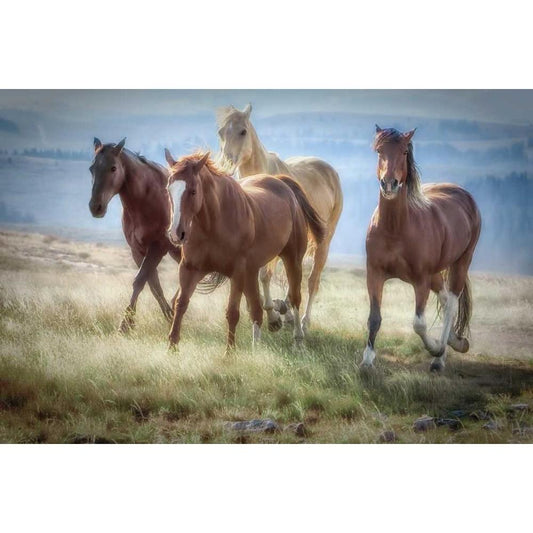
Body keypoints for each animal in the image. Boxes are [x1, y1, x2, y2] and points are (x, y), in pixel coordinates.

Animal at [89, 138, 181, 332]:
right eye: (91, 168)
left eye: (113, 168)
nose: (96, 207)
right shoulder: (137, 250)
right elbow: (153, 285)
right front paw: (169, 316)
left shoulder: (157, 248)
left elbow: (139, 281)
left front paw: (125, 325)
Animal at [163, 150, 326, 353]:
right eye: (168, 190)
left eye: (193, 191)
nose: (176, 233)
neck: (214, 224)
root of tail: (282, 184)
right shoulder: (190, 269)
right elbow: (180, 304)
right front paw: (172, 347)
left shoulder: (237, 273)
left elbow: (232, 312)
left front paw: (229, 353)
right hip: (252, 271)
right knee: (256, 309)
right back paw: (259, 343)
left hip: (292, 259)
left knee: (295, 298)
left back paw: (298, 340)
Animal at [216, 104, 343, 333]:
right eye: (221, 132)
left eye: (243, 131)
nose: (227, 163)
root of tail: (329, 170)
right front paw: (268, 311)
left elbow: (264, 275)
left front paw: (273, 316)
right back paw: (287, 310)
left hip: (323, 242)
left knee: (312, 280)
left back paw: (303, 321)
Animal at [362, 126, 482, 372]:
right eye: (379, 151)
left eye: (404, 152)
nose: (389, 184)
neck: (396, 228)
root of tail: (463, 194)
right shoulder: (375, 274)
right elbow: (374, 318)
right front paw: (367, 360)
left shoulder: (421, 281)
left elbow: (419, 324)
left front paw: (435, 348)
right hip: (436, 274)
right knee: (445, 300)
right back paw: (457, 342)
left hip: (461, 262)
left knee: (451, 303)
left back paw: (439, 358)